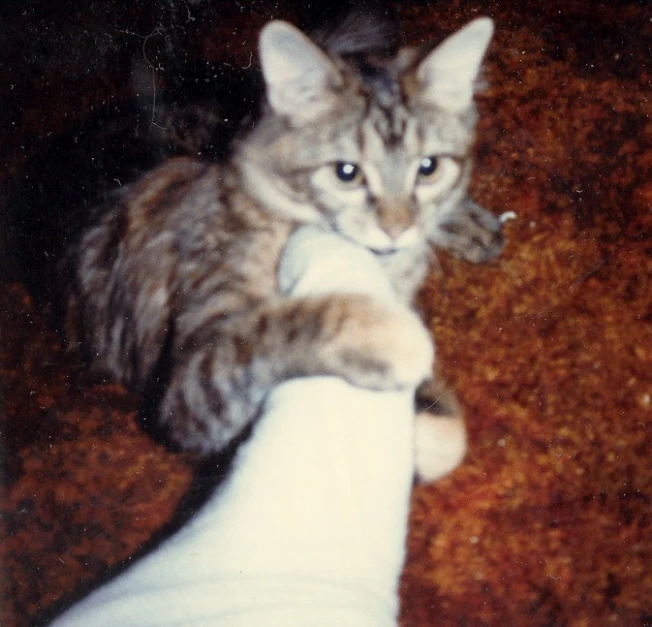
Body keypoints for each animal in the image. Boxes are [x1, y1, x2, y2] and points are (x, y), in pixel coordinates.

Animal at [52, 15, 504, 486]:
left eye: (428, 168)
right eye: (347, 173)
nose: (397, 229)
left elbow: (448, 435)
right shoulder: (186, 392)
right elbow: (274, 327)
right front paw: (384, 335)